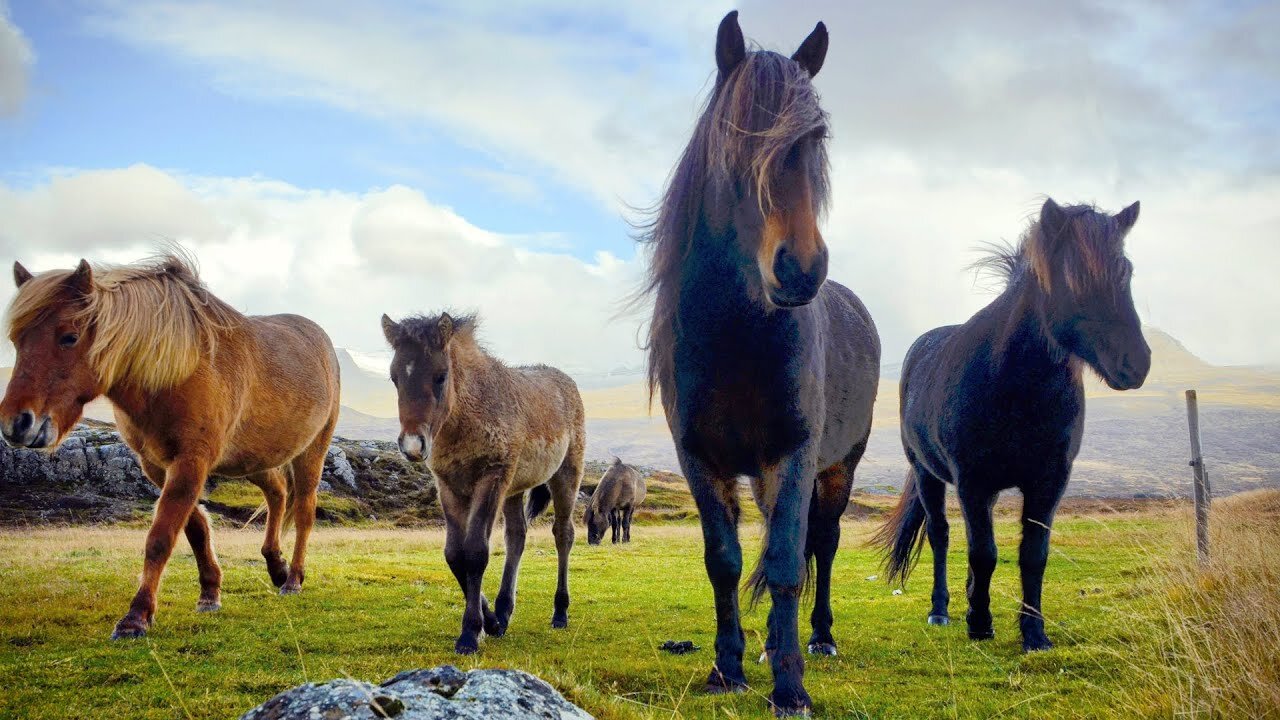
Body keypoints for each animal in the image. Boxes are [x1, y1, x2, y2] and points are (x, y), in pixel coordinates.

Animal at [0, 254, 340, 635]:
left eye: (69, 337)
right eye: (16, 340)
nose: (17, 424)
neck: (175, 371)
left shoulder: (191, 460)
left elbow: (161, 536)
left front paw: (136, 617)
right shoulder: (158, 465)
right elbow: (195, 527)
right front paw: (209, 593)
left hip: (311, 452)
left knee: (304, 512)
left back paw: (293, 578)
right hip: (254, 459)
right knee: (278, 493)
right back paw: (275, 565)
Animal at [376, 308, 583, 650]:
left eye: (441, 375)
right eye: (394, 378)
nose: (413, 446)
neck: (465, 419)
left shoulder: (491, 478)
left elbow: (475, 551)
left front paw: (471, 633)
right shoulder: (448, 485)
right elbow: (454, 554)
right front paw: (491, 621)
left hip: (566, 474)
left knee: (563, 534)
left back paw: (560, 612)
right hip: (514, 489)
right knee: (517, 536)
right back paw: (504, 610)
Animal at [637, 9, 880, 712]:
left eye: (815, 138)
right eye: (737, 137)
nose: (800, 268)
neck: (736, 340)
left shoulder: (794, 453)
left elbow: (787, 564)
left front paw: (790, 686)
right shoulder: (701, 460)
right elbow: (726, 561)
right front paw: (729, 667)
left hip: (839, 467)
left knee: (821, 545)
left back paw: (817, 638)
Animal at [880, 196, 1152, 650]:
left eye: (1126, 271)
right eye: (1071, 279)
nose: (1135, 363)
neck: (1017, 387)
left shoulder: (1049, 482)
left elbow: (1032, 556)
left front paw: (1034, 633)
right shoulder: (972, 481)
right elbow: (983, 553)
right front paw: (980, 624)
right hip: (927, 474)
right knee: (941, 535)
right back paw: (942, 610)